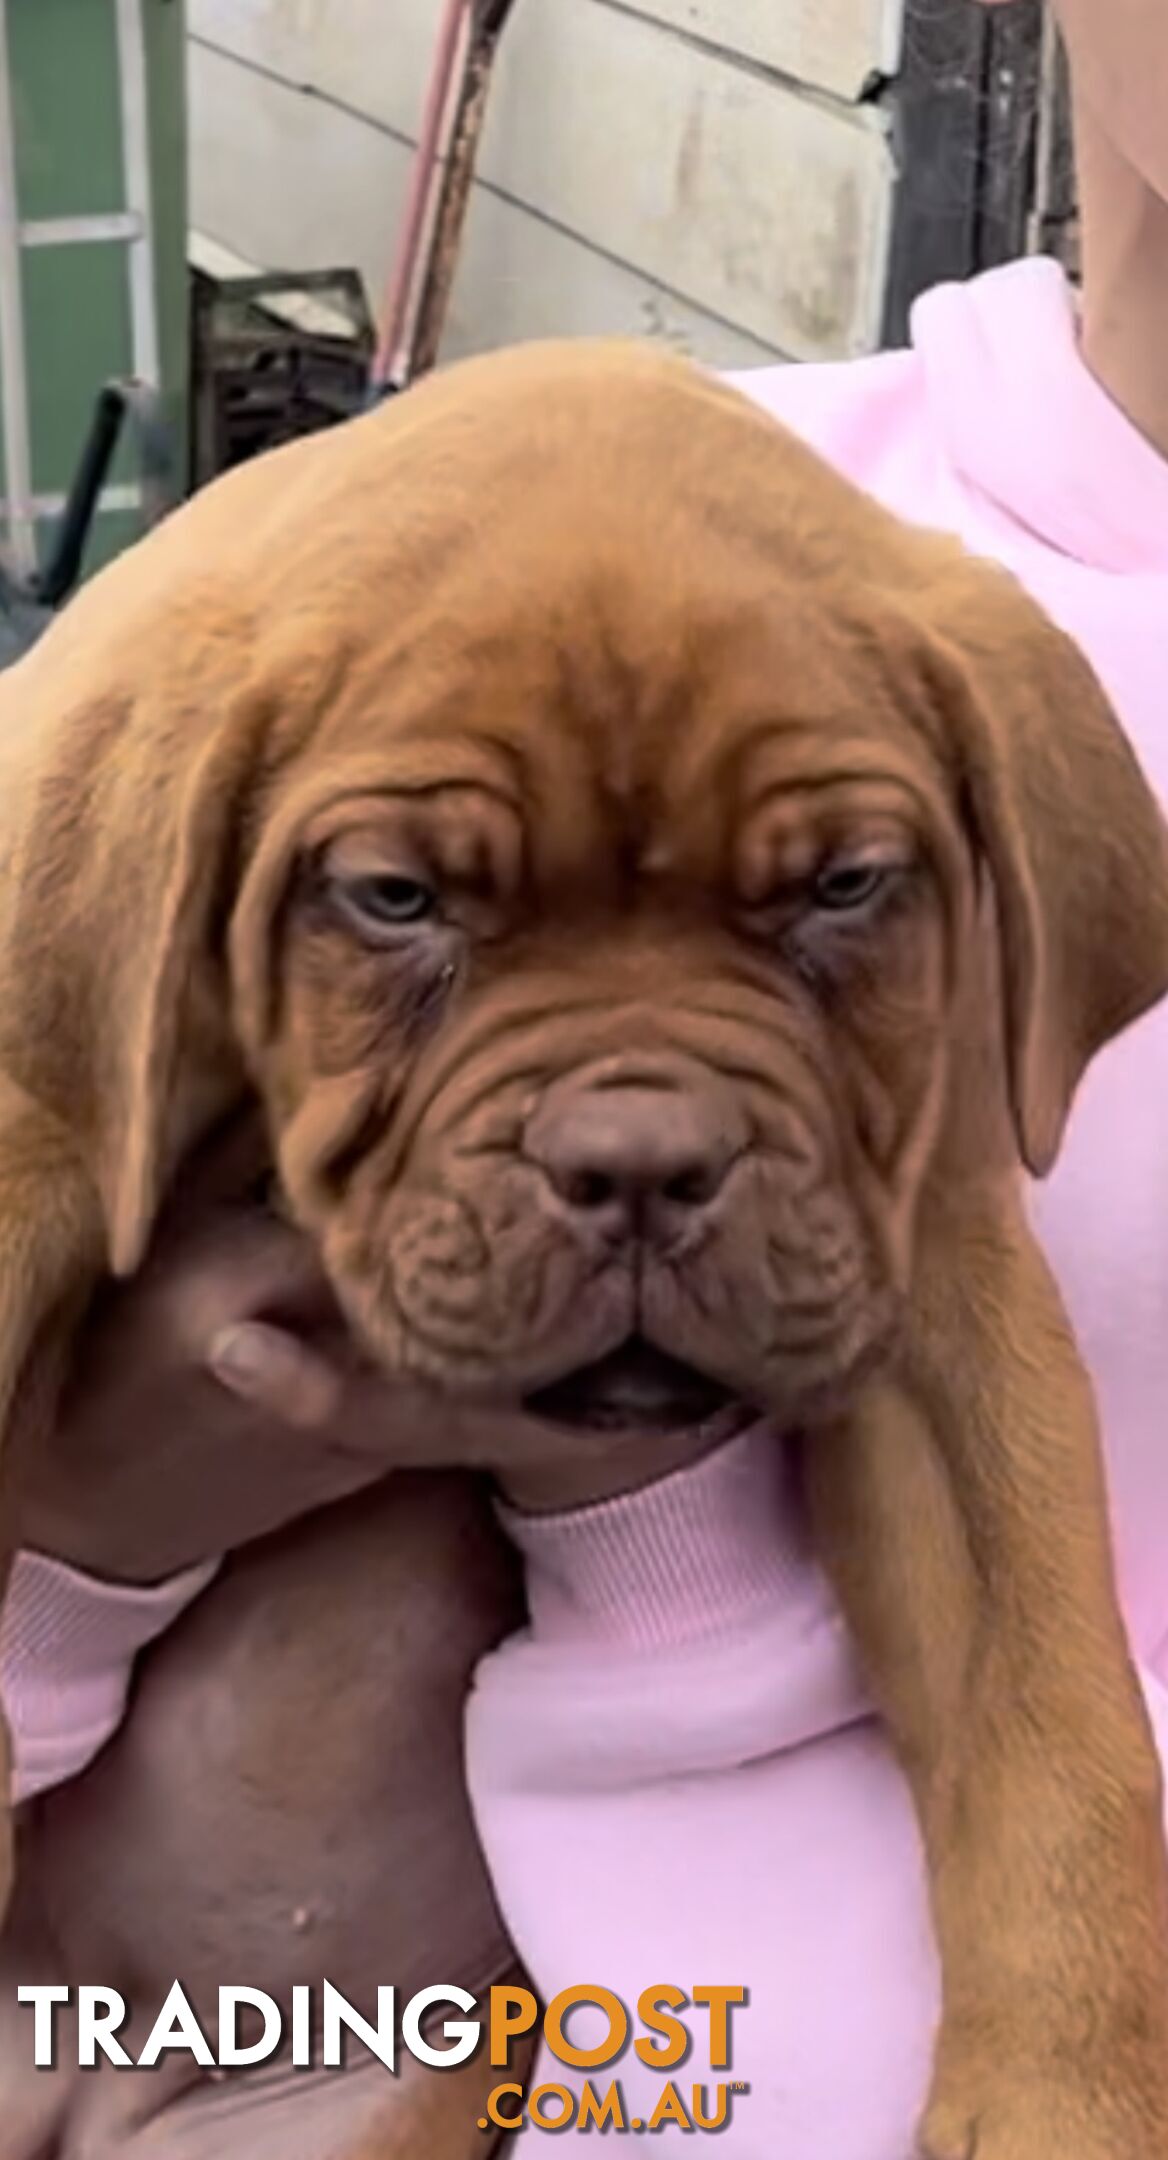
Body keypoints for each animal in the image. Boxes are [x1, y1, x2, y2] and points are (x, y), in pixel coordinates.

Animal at [0, 345, 1165, 2151]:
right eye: (393, 898)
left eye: (844, 885)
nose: (637, 1164)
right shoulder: (31, 1119)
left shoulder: (927, 1255)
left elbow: (1046, 1705)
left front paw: (1069, 2097)